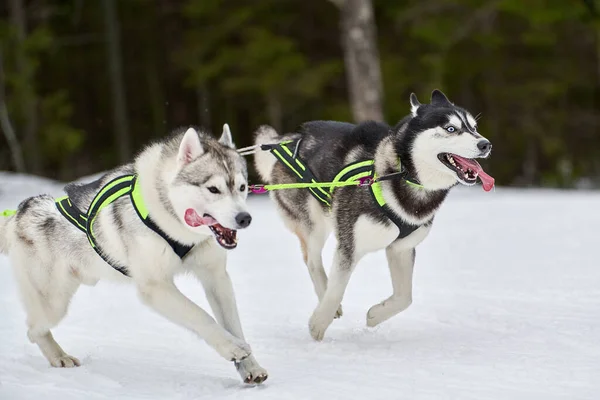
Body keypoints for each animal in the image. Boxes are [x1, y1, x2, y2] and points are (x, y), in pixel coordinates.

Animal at [0, 125, 268, 384]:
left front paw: (250, 367)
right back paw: (59, 357)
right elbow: (201, 316)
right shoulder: (156, 287)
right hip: (53, 304)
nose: (245, 218)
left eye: (242, 187)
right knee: (33, 330)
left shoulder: (216, 278)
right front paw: (232, 348)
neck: (174, 222)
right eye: (213, 189)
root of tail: (19, 214)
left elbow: (233, 325)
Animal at [253, 89, 492, 340]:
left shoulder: (401, 248)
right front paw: (318, 325)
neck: (401, 174)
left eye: (474, 127)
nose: (486, 144)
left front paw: (375, 315)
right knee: (312, 260)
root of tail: (290, 138)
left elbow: (405, 298)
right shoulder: (349, 245)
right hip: (313, 224)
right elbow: (336, 289)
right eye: (451, 128)